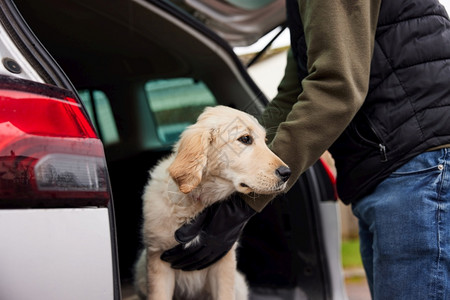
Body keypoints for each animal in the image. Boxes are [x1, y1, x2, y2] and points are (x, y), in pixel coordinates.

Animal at [134, 106, 290, 300]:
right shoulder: (158, 259)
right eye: (245, 139)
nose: (287, 173)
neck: (195, 203)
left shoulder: (222, 262)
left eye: (264, 140)